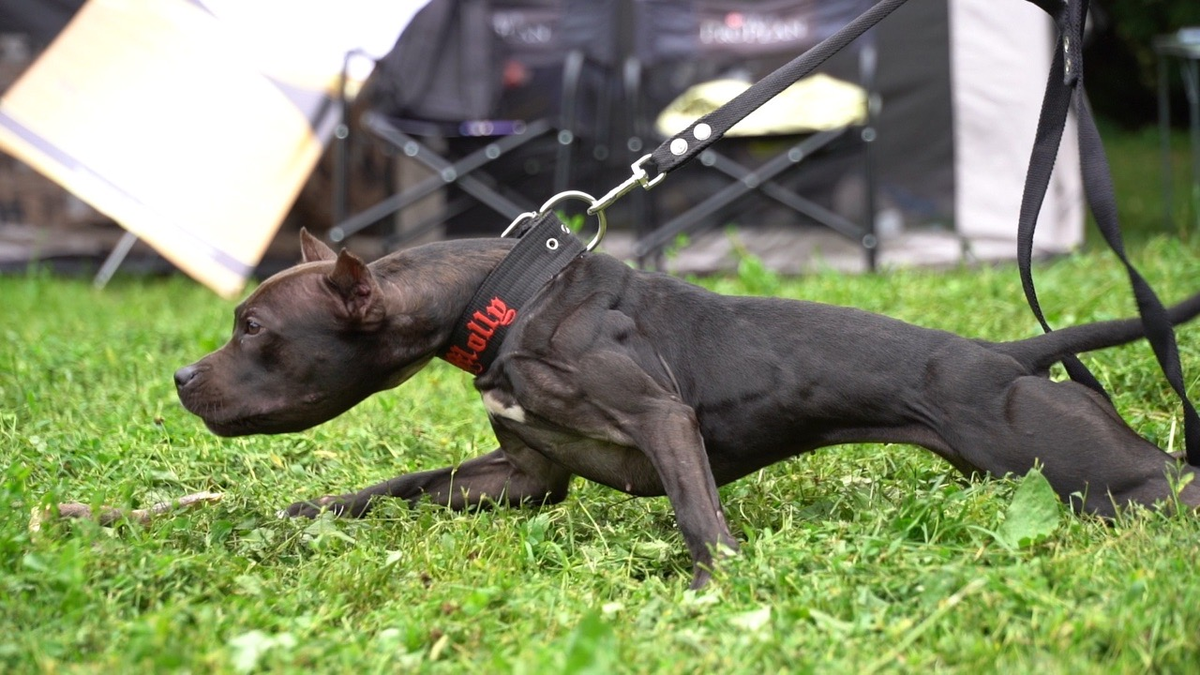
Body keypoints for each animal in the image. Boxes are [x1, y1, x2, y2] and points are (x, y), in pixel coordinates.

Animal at [177, 228, 1200, 586]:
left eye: (252, 325)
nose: (184, 376)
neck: (504, 299)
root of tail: (1007, 356)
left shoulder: (661, 420)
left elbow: (700, 520)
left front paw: (718, 596)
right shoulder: (523, 474)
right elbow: (398, 482)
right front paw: (305, 513)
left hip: (1096, 474)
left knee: (1170, 478)